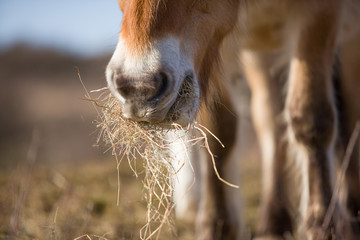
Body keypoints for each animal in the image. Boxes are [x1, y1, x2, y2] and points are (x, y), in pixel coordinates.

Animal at [105, 0, 360, 239]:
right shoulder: (218, 40)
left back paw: (351, 212)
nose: (137, 87)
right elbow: (218, 133)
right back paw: (274, 220)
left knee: (348, 118)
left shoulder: (319, 15)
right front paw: (217, 223)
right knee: (271, 121)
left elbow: (312, 119)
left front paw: (323, 224)